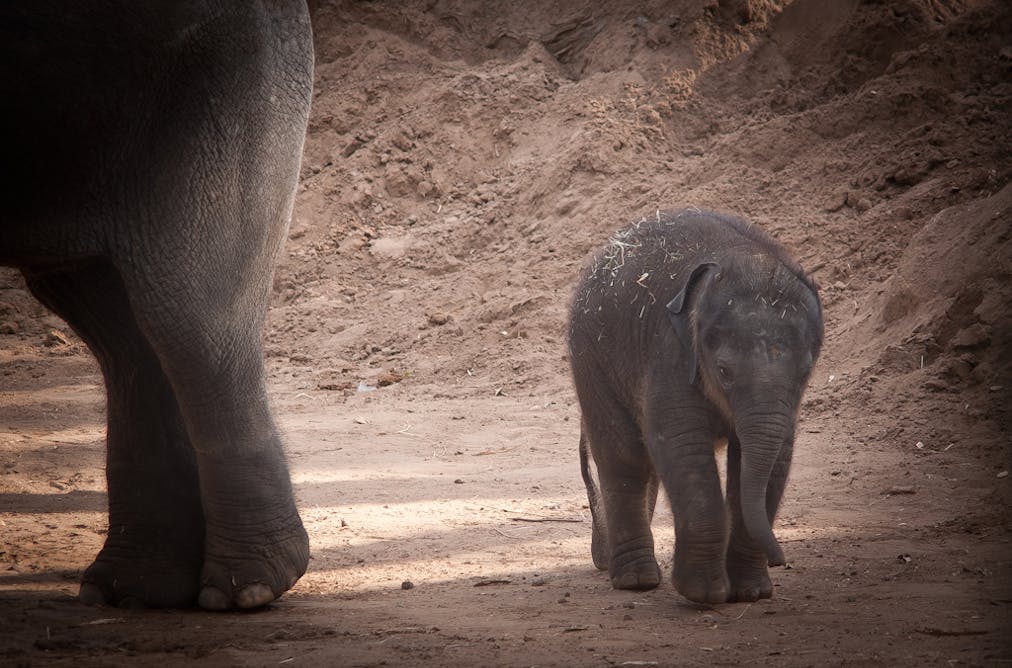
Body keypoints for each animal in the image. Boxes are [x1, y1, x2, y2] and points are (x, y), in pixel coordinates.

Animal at [568, 209, 823, 604]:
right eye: (724, 371)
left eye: (806, 370)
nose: (781, 559)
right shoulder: (671, 353)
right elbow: (679, 444)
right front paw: (704, 594)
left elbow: (776, 457)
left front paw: (750, 593)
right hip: (591, 357)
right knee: (624, 456)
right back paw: (636, 581)